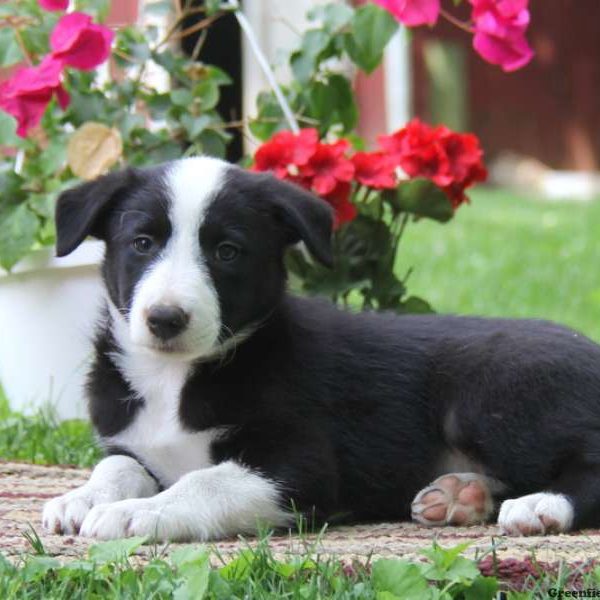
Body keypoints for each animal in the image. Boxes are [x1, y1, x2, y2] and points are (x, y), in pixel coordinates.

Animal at [44, 157, 600, 540]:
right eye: (142, 243)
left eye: (227, 251)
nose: (165, 319)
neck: (174, 378)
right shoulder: (132, 443)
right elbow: (118, 465)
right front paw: (81, 498)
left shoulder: (302, 465)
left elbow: (205, 481)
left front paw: (135, 512)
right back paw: (462, 494)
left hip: (492, 394)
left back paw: (540, 504)